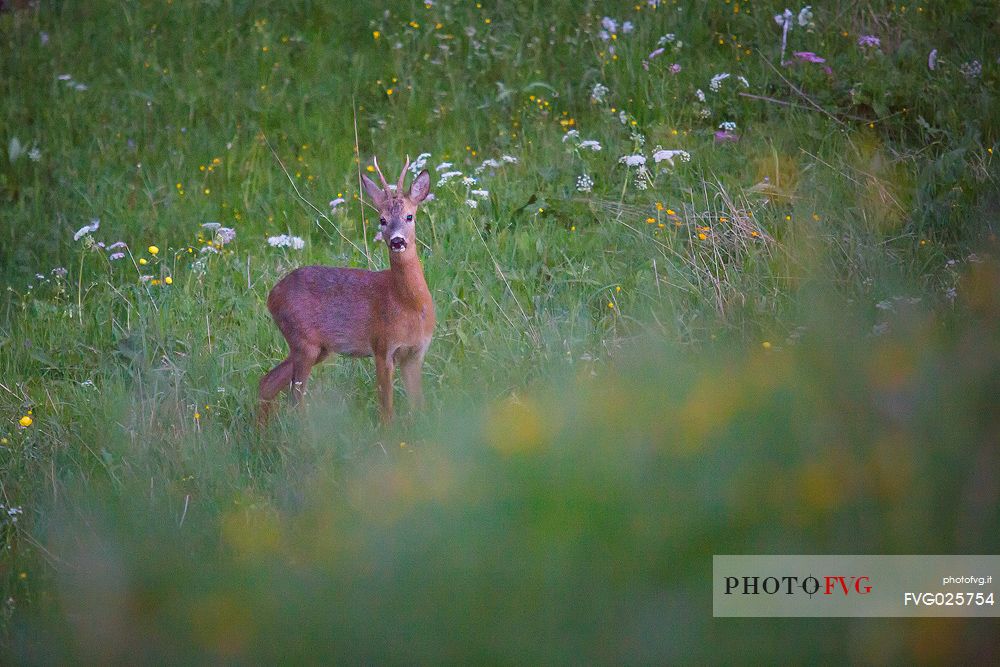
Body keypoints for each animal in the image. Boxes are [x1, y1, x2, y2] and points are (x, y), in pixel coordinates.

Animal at [258, 158, 434, 422]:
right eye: (382, 220)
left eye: (410, 216)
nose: (397, 241)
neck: (409, 304)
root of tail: (272, 295)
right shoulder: (382, 347)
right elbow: (386, 409)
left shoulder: (415, 353)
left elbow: (419, 405)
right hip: (303, 341)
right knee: (295, 399)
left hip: (317, 348)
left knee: (267, 382)